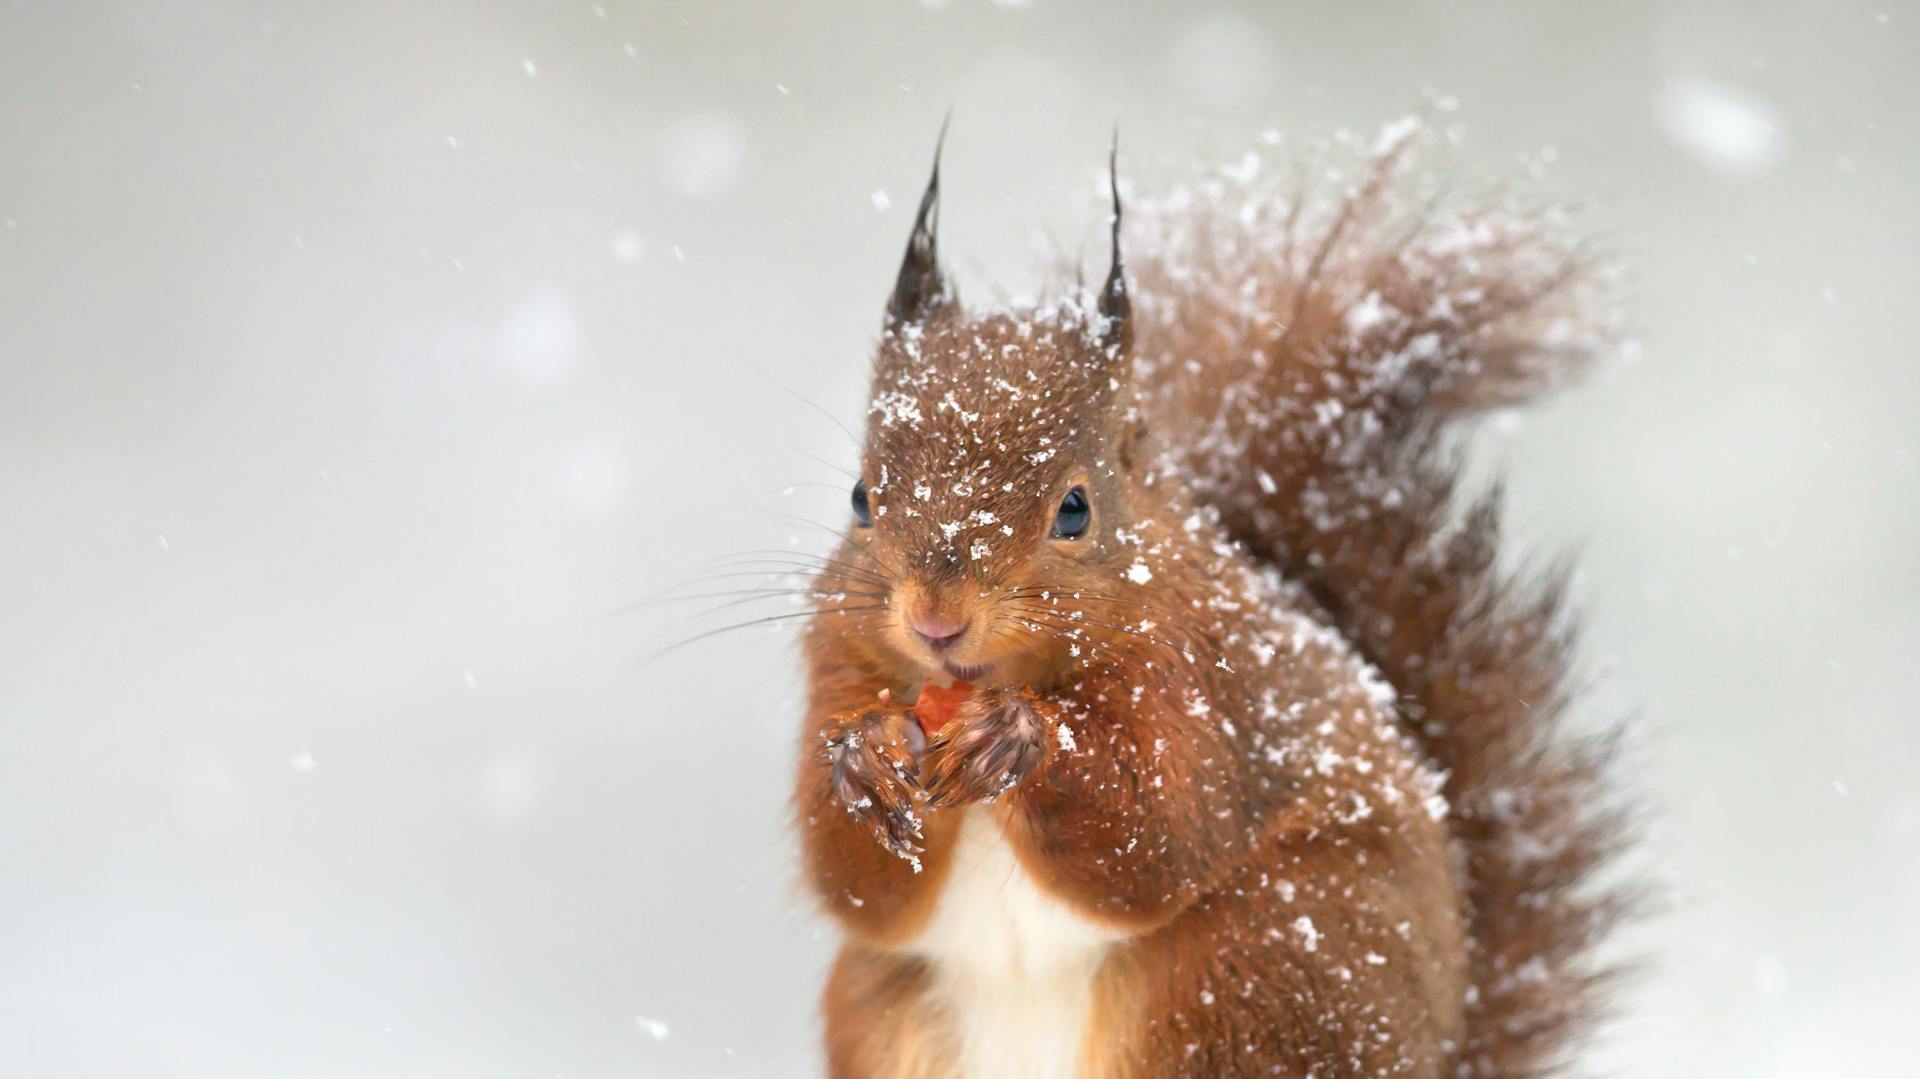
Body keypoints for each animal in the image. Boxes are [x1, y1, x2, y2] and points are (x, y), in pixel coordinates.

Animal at [790, 120, 1629, 1079]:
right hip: (889, 1012)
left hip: (1243, 979)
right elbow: (857, 885)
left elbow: (1157, 830)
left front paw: (1021, 736)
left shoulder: (1199, 680)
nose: (937, 618)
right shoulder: (836, 661)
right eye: (861, 497)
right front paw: (866, 756)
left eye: (1075, 509)